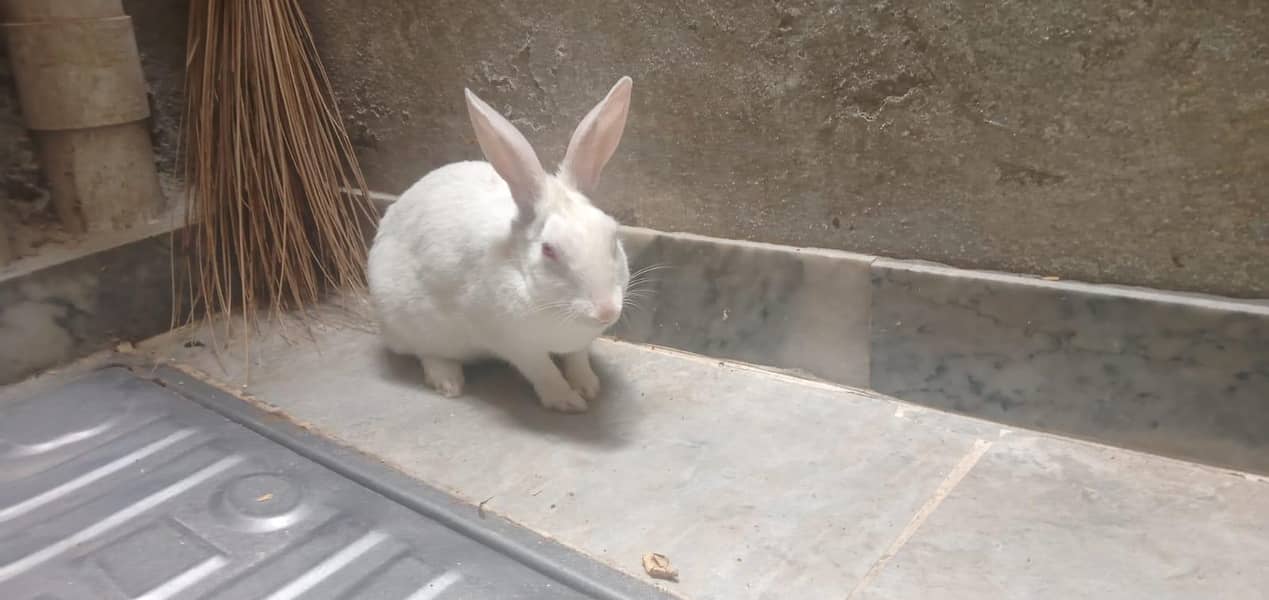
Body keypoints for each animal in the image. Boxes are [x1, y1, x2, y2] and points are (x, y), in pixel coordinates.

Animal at [367, 76, 634, 413]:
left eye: (613, 236)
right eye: (549, 250)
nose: (606, 311)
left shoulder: (577, 345)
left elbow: (578, 360)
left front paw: (588, 387)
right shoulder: (517, 345)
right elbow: (543, 371)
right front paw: (567, 401)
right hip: (408, 323)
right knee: (427, 354)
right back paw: (449, 383)